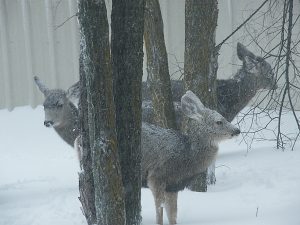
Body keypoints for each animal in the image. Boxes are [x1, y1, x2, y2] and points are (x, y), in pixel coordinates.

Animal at [141, 90, 241, 224]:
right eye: (219, 121)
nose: (237, 130)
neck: (187, 155)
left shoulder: (173, 186)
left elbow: (172, 213)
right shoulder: (156, 177)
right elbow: (159, 209)